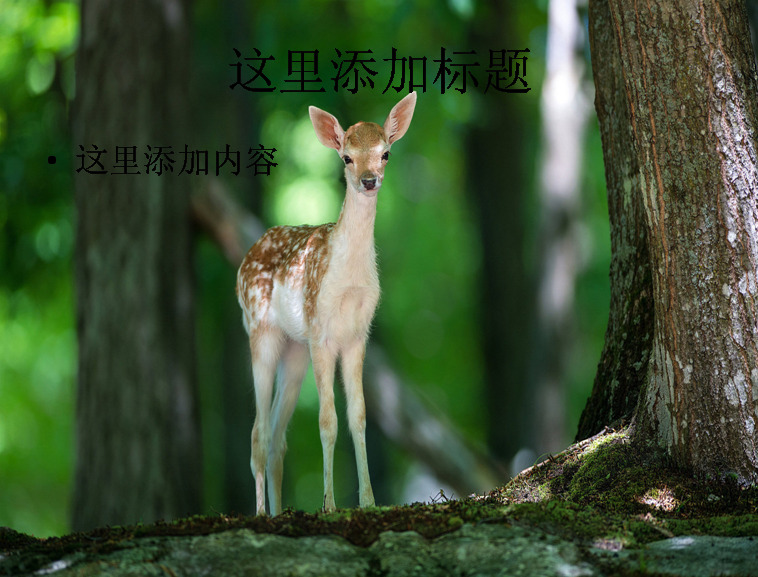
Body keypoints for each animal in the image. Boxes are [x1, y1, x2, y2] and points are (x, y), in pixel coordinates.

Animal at [236, 92, 417, 516]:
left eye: (385, 153)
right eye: (346, 157)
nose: (369, 180)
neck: (348, 280)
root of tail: (245, 258)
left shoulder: (357, 336)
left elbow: (359, 416)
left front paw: (368, 502)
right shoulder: (321, 332)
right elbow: (327, 420)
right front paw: (330, 505)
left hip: (294, 349)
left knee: (277, 437)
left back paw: (278, 511)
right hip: (261, 331)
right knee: (258, 432)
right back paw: (261, 513)